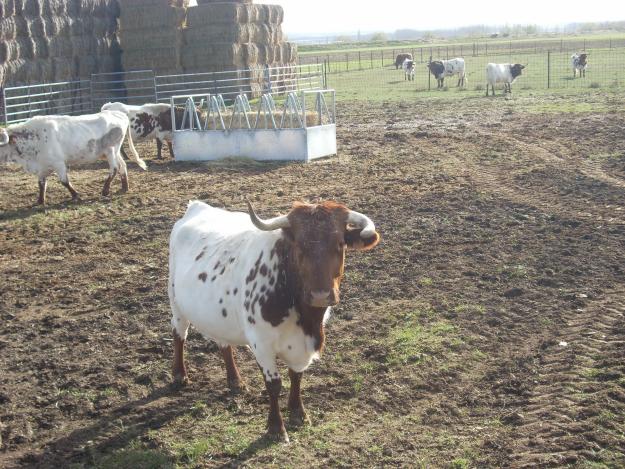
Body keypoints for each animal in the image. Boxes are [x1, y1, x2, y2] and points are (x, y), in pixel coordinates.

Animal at [0, 111, 145, 205]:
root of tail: (119, 114)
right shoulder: (43, 167)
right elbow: (41, 183)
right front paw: (40, 201)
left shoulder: (58, 163)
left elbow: (64, 181)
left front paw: (76, 195)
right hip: (115, 152)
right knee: (122, 166)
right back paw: (124, 187)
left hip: (111, 150)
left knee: (114, 169)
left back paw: (105, 190)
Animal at [167, 199, 380, 440]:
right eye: (299, 246)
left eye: (340, 243)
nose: (320, 295)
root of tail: (196, 206)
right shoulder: (261, 344)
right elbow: (274, 384)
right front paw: (276, 427)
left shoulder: (301, 346)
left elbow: (296, 376)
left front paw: (298, 413)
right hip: (176, 302)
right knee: (179, 334)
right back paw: (179, 375)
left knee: (223, 343)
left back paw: (235, 380)